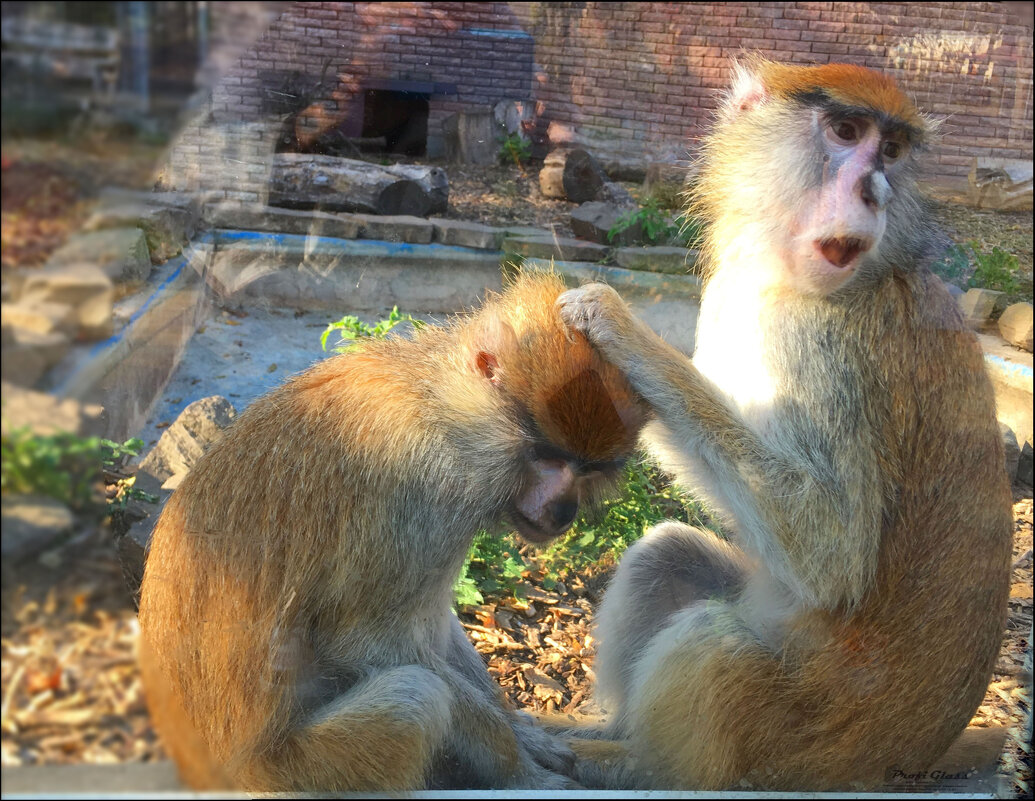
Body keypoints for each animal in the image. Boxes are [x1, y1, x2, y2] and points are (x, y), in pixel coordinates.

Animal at [133, 273, 641, 794]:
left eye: (589, 469)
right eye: (545, 454)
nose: (563, 511)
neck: (441, 405)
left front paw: (526, 734)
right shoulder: (419, 487)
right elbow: (367, 645)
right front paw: (520, 772)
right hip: (290, 773)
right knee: (412, 695)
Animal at [558, 61, 1010, 790]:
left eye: (891, 151)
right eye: (847, 132)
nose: (876, 189)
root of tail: (902, 761)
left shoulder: (824, 344)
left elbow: (830, 555)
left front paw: (616, 327)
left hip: (792, 744)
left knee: (714, 643)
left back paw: (632, 765)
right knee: (667, 556)